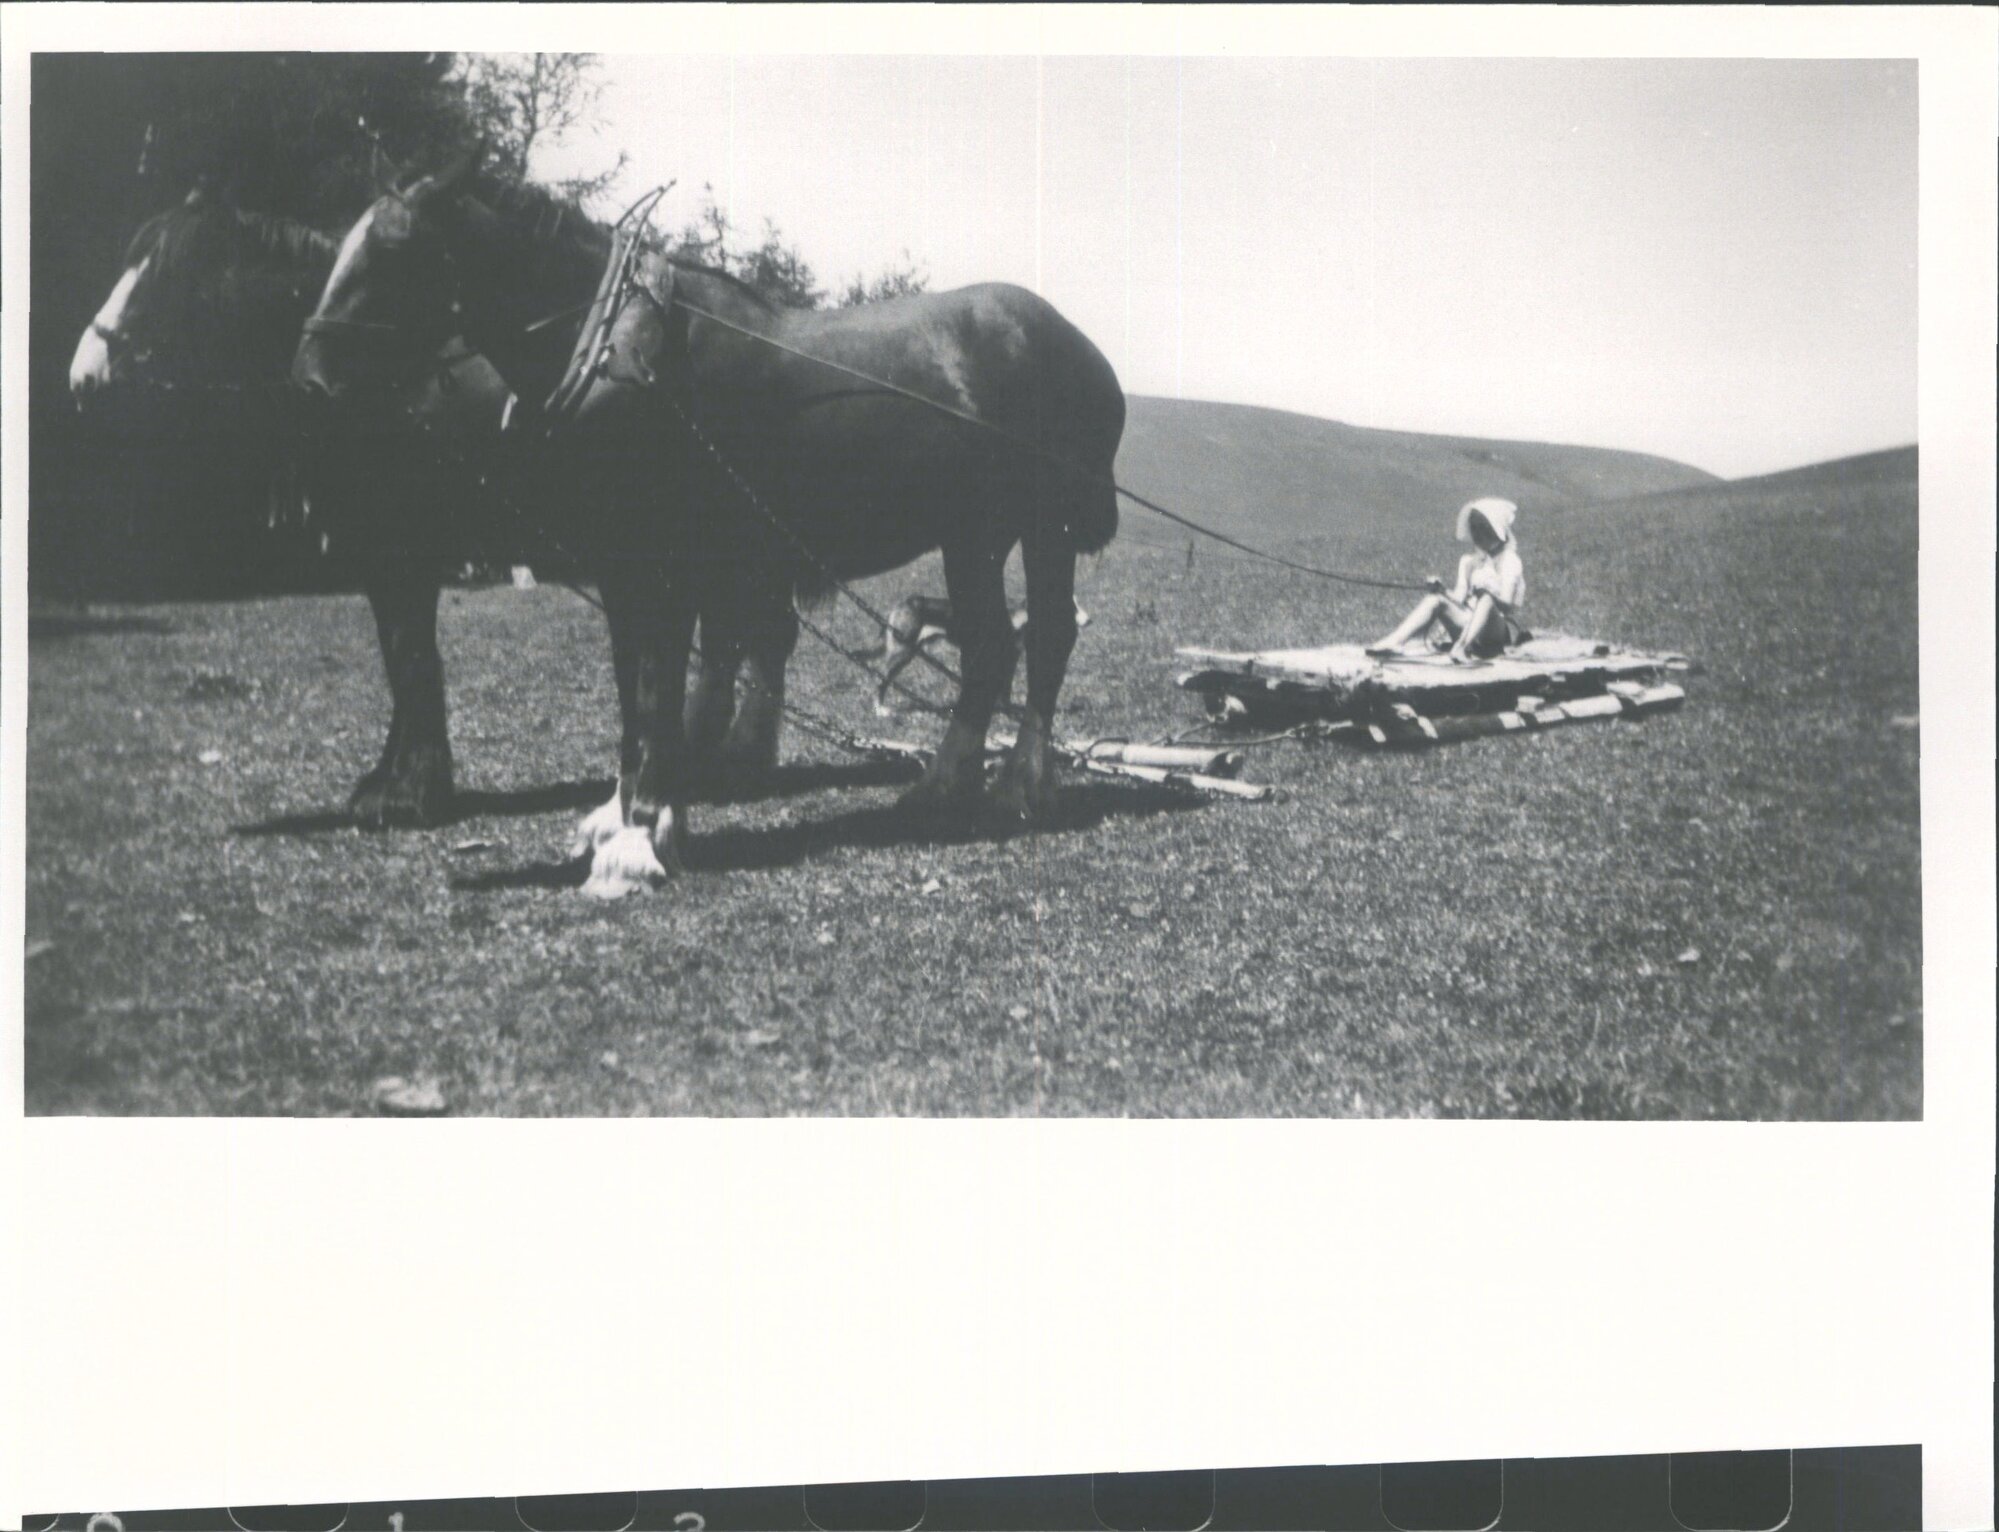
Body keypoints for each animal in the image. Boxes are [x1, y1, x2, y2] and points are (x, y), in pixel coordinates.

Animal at [293, 148, 1127, 899]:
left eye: (395, 251)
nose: (312, 376)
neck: (623, 352)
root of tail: (1081, 349)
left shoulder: (664, 567)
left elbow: (657, 688)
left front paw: (640, 838)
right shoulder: (622, 568)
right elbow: (634, 691)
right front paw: (625, 818)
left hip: (1027, 531)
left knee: (1030, 640)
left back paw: (1003, 785)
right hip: (977, 535)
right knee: (1004, 643)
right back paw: (964, 785)